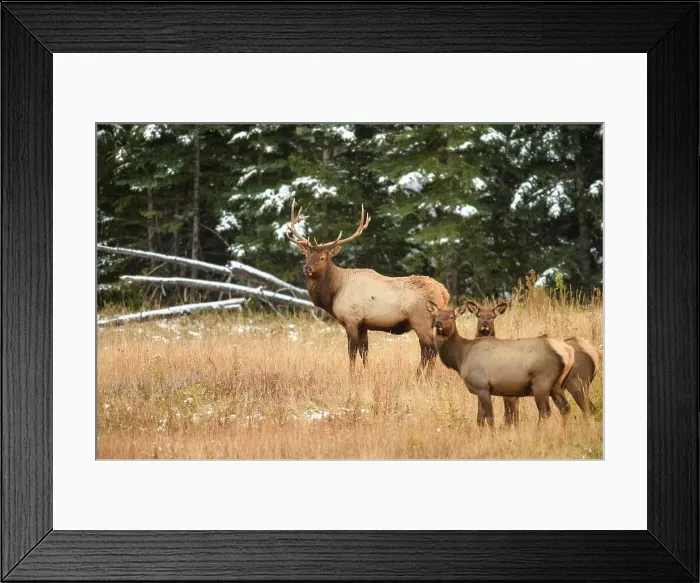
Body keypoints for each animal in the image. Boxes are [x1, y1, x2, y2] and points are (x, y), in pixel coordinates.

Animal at [285, 200, 450, 375]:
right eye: (306, 256)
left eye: (322, 257)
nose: (307, 268)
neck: (334, 292)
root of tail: (444, 293)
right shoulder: (363, 325)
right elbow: (364, 352)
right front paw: (365, 373)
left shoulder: (351, 319)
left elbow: (351, 352)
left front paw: (351, 375)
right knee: (428, 350)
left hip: (421, 319)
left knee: (430, 349)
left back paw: (423, 376)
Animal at [427, 301, 575, 427]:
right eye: (436, 315)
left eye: (451, 317)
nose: (438, 323)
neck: (461, 357)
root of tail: (568, 350)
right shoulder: (479, 389)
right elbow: (479, 418)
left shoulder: (482, 385)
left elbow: (490, 418)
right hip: (556, 385)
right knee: (565, 408)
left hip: (542, 382)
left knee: (545, 412)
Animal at [464, 301, 601, 422]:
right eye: (478, 315)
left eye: (493, 316)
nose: (484, 323)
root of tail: (596, 351)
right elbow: (481, 417)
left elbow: (509, 417)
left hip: (578, 382)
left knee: (588, 409)